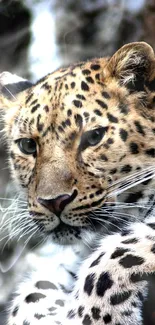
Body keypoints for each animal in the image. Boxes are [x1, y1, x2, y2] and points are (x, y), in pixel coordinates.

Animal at [0, 41, 155, 324]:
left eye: (93, 137)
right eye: (28, 146)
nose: (53, 202)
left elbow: (119, 251)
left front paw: (95, 315)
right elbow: (34, 291)